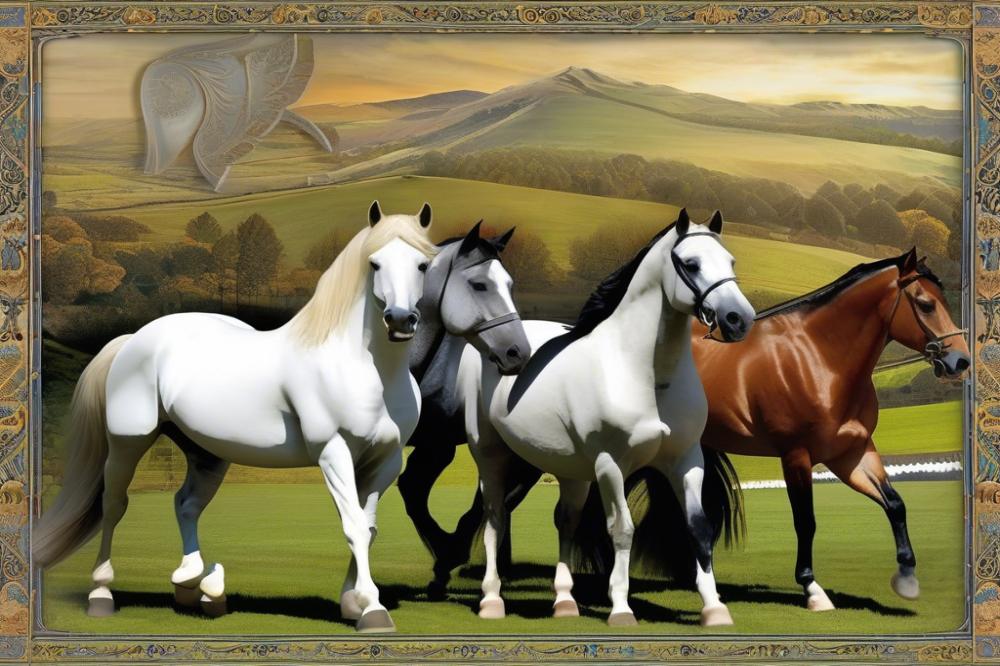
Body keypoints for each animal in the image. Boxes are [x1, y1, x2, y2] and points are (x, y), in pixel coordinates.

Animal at [34, 201, 442, 634]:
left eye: (422, 264)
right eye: (374, 263)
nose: (400, 320)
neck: (364, 369)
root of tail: (133, 340)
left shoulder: (385, 461)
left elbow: (368, 527)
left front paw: (353, 602)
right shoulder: (334, 453)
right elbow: (354, 527)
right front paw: (372, 610)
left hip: (207, 454)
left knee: (185, 504)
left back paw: (194, 588)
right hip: (128, 441)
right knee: (114, 505)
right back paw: (102, 594)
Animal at [458, 209, 756, 626]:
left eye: (730, 261)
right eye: (691, 264)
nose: (738, 319)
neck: (644, 374)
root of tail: (493, 345)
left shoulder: (687, 460)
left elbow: (698, 528)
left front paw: (714, 608)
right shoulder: (611, 465)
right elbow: (622, 530)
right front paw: (620, 608)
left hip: (570, 470)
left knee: (564, 521)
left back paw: (565, 603)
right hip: (491, 454)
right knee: (494, 518)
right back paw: (491, 600)